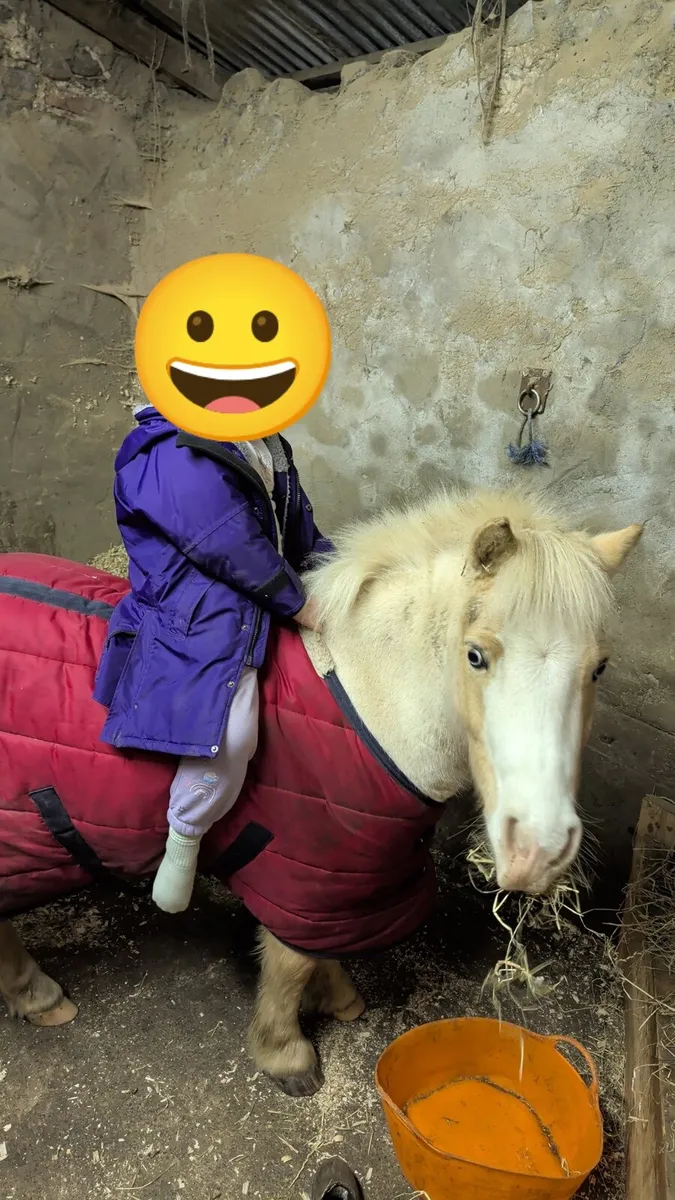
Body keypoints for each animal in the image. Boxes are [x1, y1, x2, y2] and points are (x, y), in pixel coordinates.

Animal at [0, 488, 642, 1097]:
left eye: (599, 668)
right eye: (476, 655)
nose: (538, 850)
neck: (366, 705)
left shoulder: (336, 884)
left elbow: (318, 953)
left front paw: (337, 997)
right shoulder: (306, 874)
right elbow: (290, 964)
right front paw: (286, 1053)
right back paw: (41, 994)